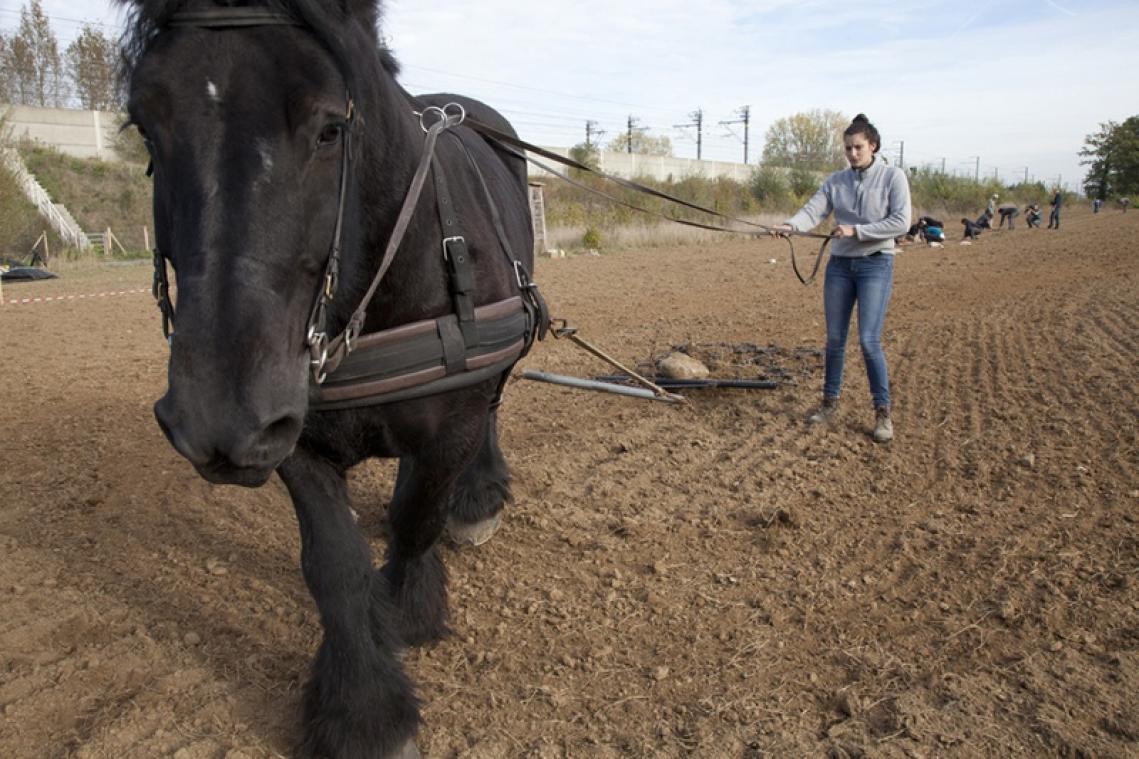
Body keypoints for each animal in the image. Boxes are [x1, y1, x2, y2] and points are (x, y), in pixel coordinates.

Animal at [119, 2, 542, 752]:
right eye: (146, 124)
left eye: (329, 127)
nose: (217, 417)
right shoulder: (294, 435)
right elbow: (334, 566)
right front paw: (362, 708)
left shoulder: (447, 424)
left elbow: (417, 517)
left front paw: (410, 609)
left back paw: (478, 496)